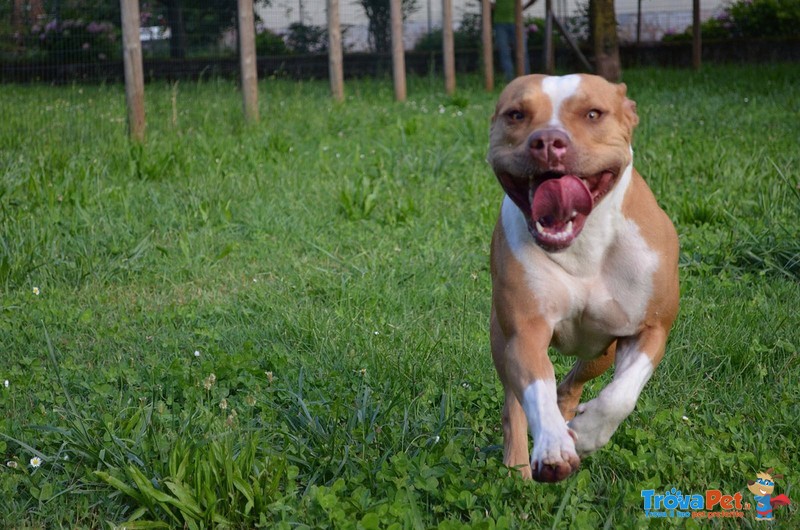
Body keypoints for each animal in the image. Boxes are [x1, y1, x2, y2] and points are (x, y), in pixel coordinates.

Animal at [484, 74, 680, 482]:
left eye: (593, 113)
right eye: (516, 114)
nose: (547, 141)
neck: (584, 246)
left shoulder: (652, 328)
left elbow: (621, 395)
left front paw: (588, 434)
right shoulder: (524, 333)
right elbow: (536, 391)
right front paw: (554, 448)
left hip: (599, 354)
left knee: (572, 384)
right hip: (501, 340)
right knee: (515, 404)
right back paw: (519, 465)